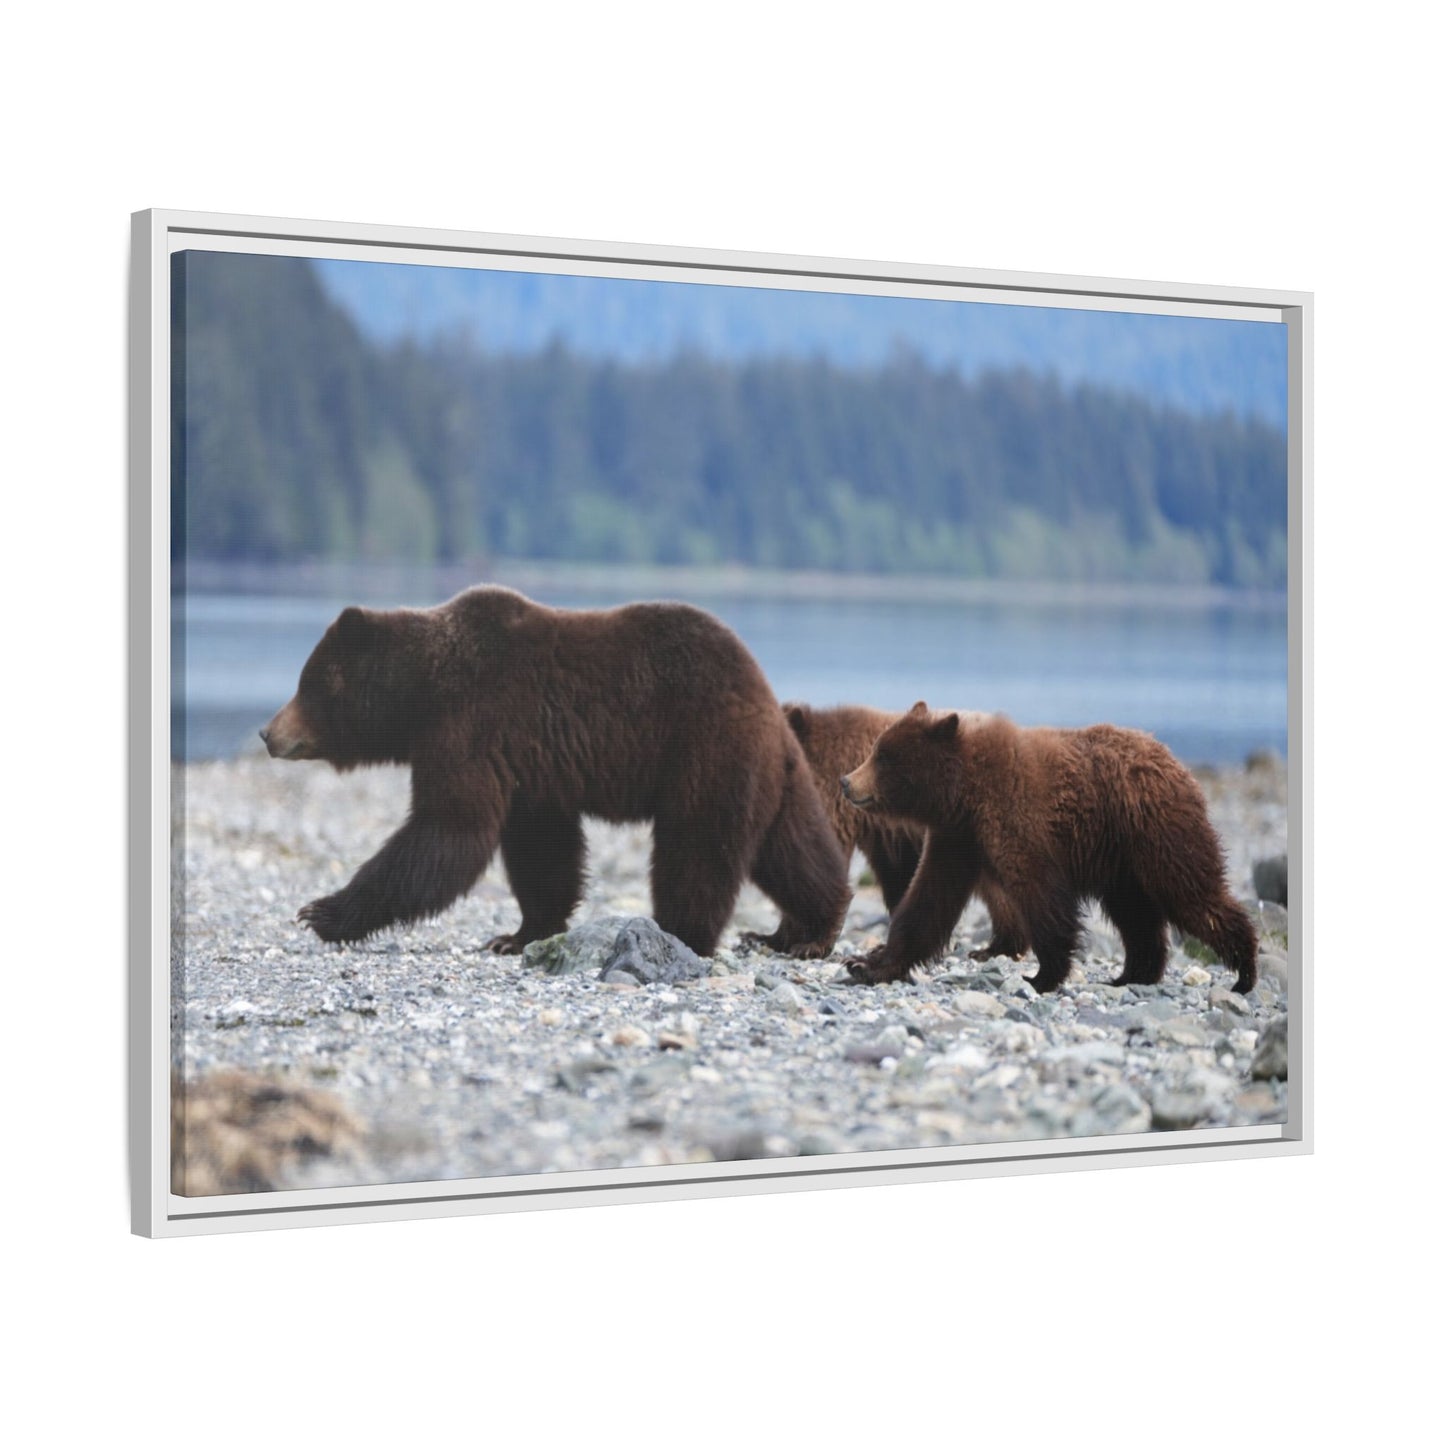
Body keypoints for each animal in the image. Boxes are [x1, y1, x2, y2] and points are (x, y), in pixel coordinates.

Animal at [260, 586, 851, 960]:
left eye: (307, 683)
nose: (268, 732)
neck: (422, 695)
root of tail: (765, 696)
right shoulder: (530, 770)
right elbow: (540, 851)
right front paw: (517, 935)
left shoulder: (471, 728)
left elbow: (448, 831)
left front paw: (321, 912)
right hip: (774, 773)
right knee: (793, 849)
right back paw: (808, 931)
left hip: (705, 753)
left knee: (698, 848)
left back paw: (679, 932)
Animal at [839, 702, 1258, 994]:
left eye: (884, 757)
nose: (846, 782)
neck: (965, 793)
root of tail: (1174, 760)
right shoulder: (957, 837)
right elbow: (927, 900)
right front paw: (866, 964)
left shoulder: (1017, 820)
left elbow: (1040, 895)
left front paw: (1041, 976)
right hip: (1122, 862)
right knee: (1136, 914)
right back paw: (1130, 975)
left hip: (1156, 832)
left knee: (1192, 894)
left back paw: (1245, 971)